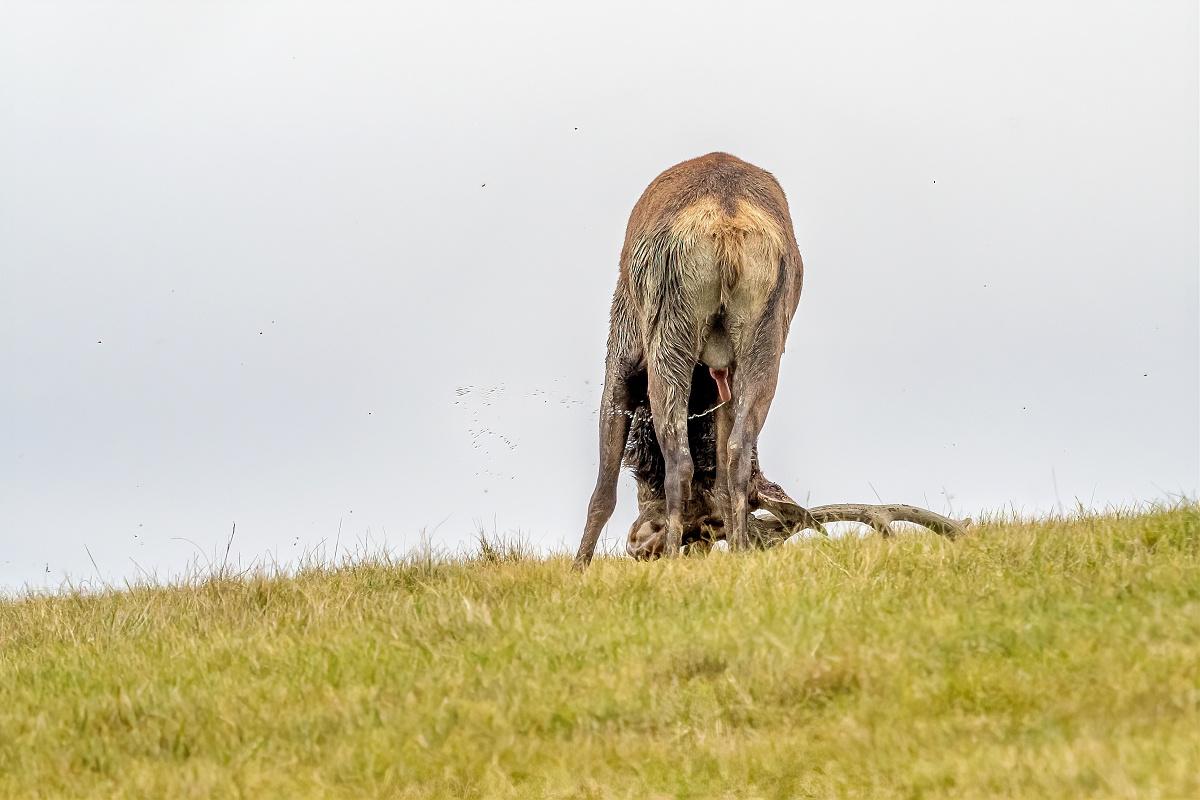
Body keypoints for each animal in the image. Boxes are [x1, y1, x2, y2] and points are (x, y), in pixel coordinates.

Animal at [571, 153, 806, 568]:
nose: (640, 545)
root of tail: (728, 221)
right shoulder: (721, 379)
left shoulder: (621, 359)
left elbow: (603, 491)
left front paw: (578, 567)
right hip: (765, 337)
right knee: (736, 454)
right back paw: (740, 550)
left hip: (669, 332)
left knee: (679, 458)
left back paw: (670, 560)